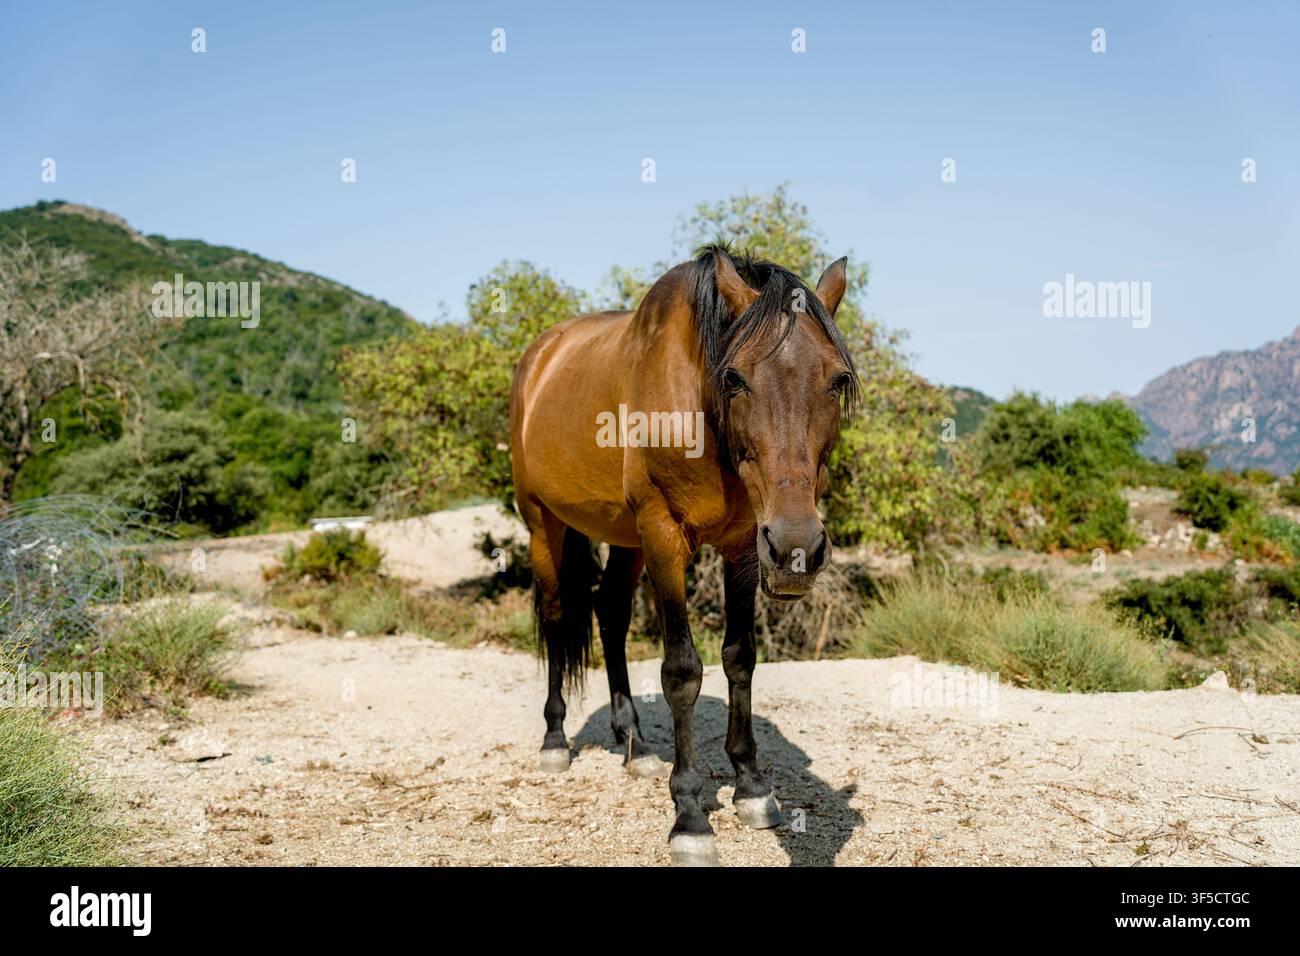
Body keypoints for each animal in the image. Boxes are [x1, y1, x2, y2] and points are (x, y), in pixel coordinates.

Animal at [508, 245, 858, 865]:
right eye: (735, 377)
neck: (699, 408)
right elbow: (681, 672)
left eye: (837, 379)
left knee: (610, 613)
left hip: (626, 540)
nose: (796, 548)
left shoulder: (743, 547)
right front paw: (690, 816)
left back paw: (636, 743)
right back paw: (554, 740)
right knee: (555, 615)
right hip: (543, 522)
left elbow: (740, 657)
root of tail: (540, 355)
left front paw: (751, 789)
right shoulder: (665, 537)